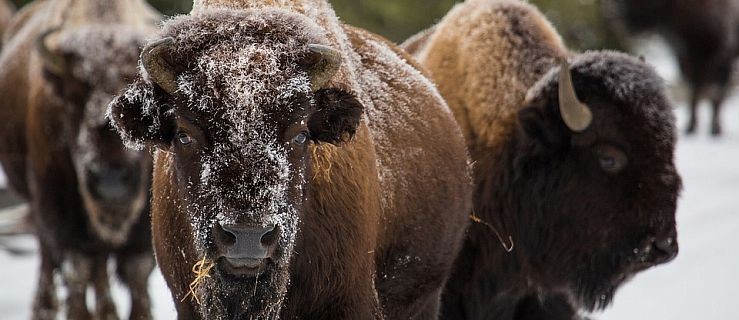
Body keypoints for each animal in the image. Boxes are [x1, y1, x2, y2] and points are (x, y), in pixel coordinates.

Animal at [0, 0, 161, 318]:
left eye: (143, 102)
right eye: (73, 97)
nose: (111, 182)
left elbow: (135, 271)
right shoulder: (59, 204)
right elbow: (77, 267)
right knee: (50, 252)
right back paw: (46, 306)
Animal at [608, 0, 739, 136]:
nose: (614, 14)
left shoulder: (723, 55)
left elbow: (716, 93)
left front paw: (716, 129)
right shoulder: (687, 57)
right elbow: (694, 89)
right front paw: (690, 127)